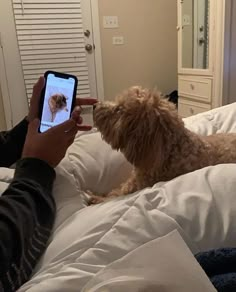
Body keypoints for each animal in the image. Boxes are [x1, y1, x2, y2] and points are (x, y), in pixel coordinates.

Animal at [89, 86, 236, 203]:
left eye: (119, 109)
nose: (94, 105)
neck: (170, 152)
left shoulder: (135, 186)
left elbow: (112, 196)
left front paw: (95, 198)